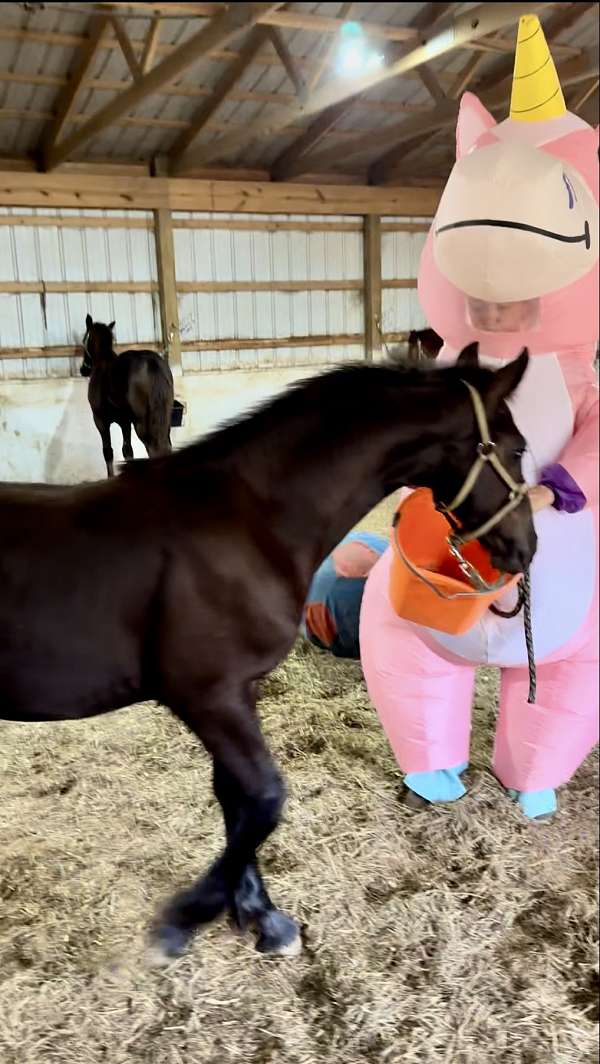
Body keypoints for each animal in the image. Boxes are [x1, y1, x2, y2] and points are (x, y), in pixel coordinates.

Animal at [80, 314, 173, 478]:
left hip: (142, 425)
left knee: (153, 448)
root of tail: (151, 363)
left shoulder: (100, 420)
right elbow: (127, 451)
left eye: (84, 339)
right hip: (164, 420)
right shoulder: (125, 421)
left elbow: (108, 452)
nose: (83, 369)